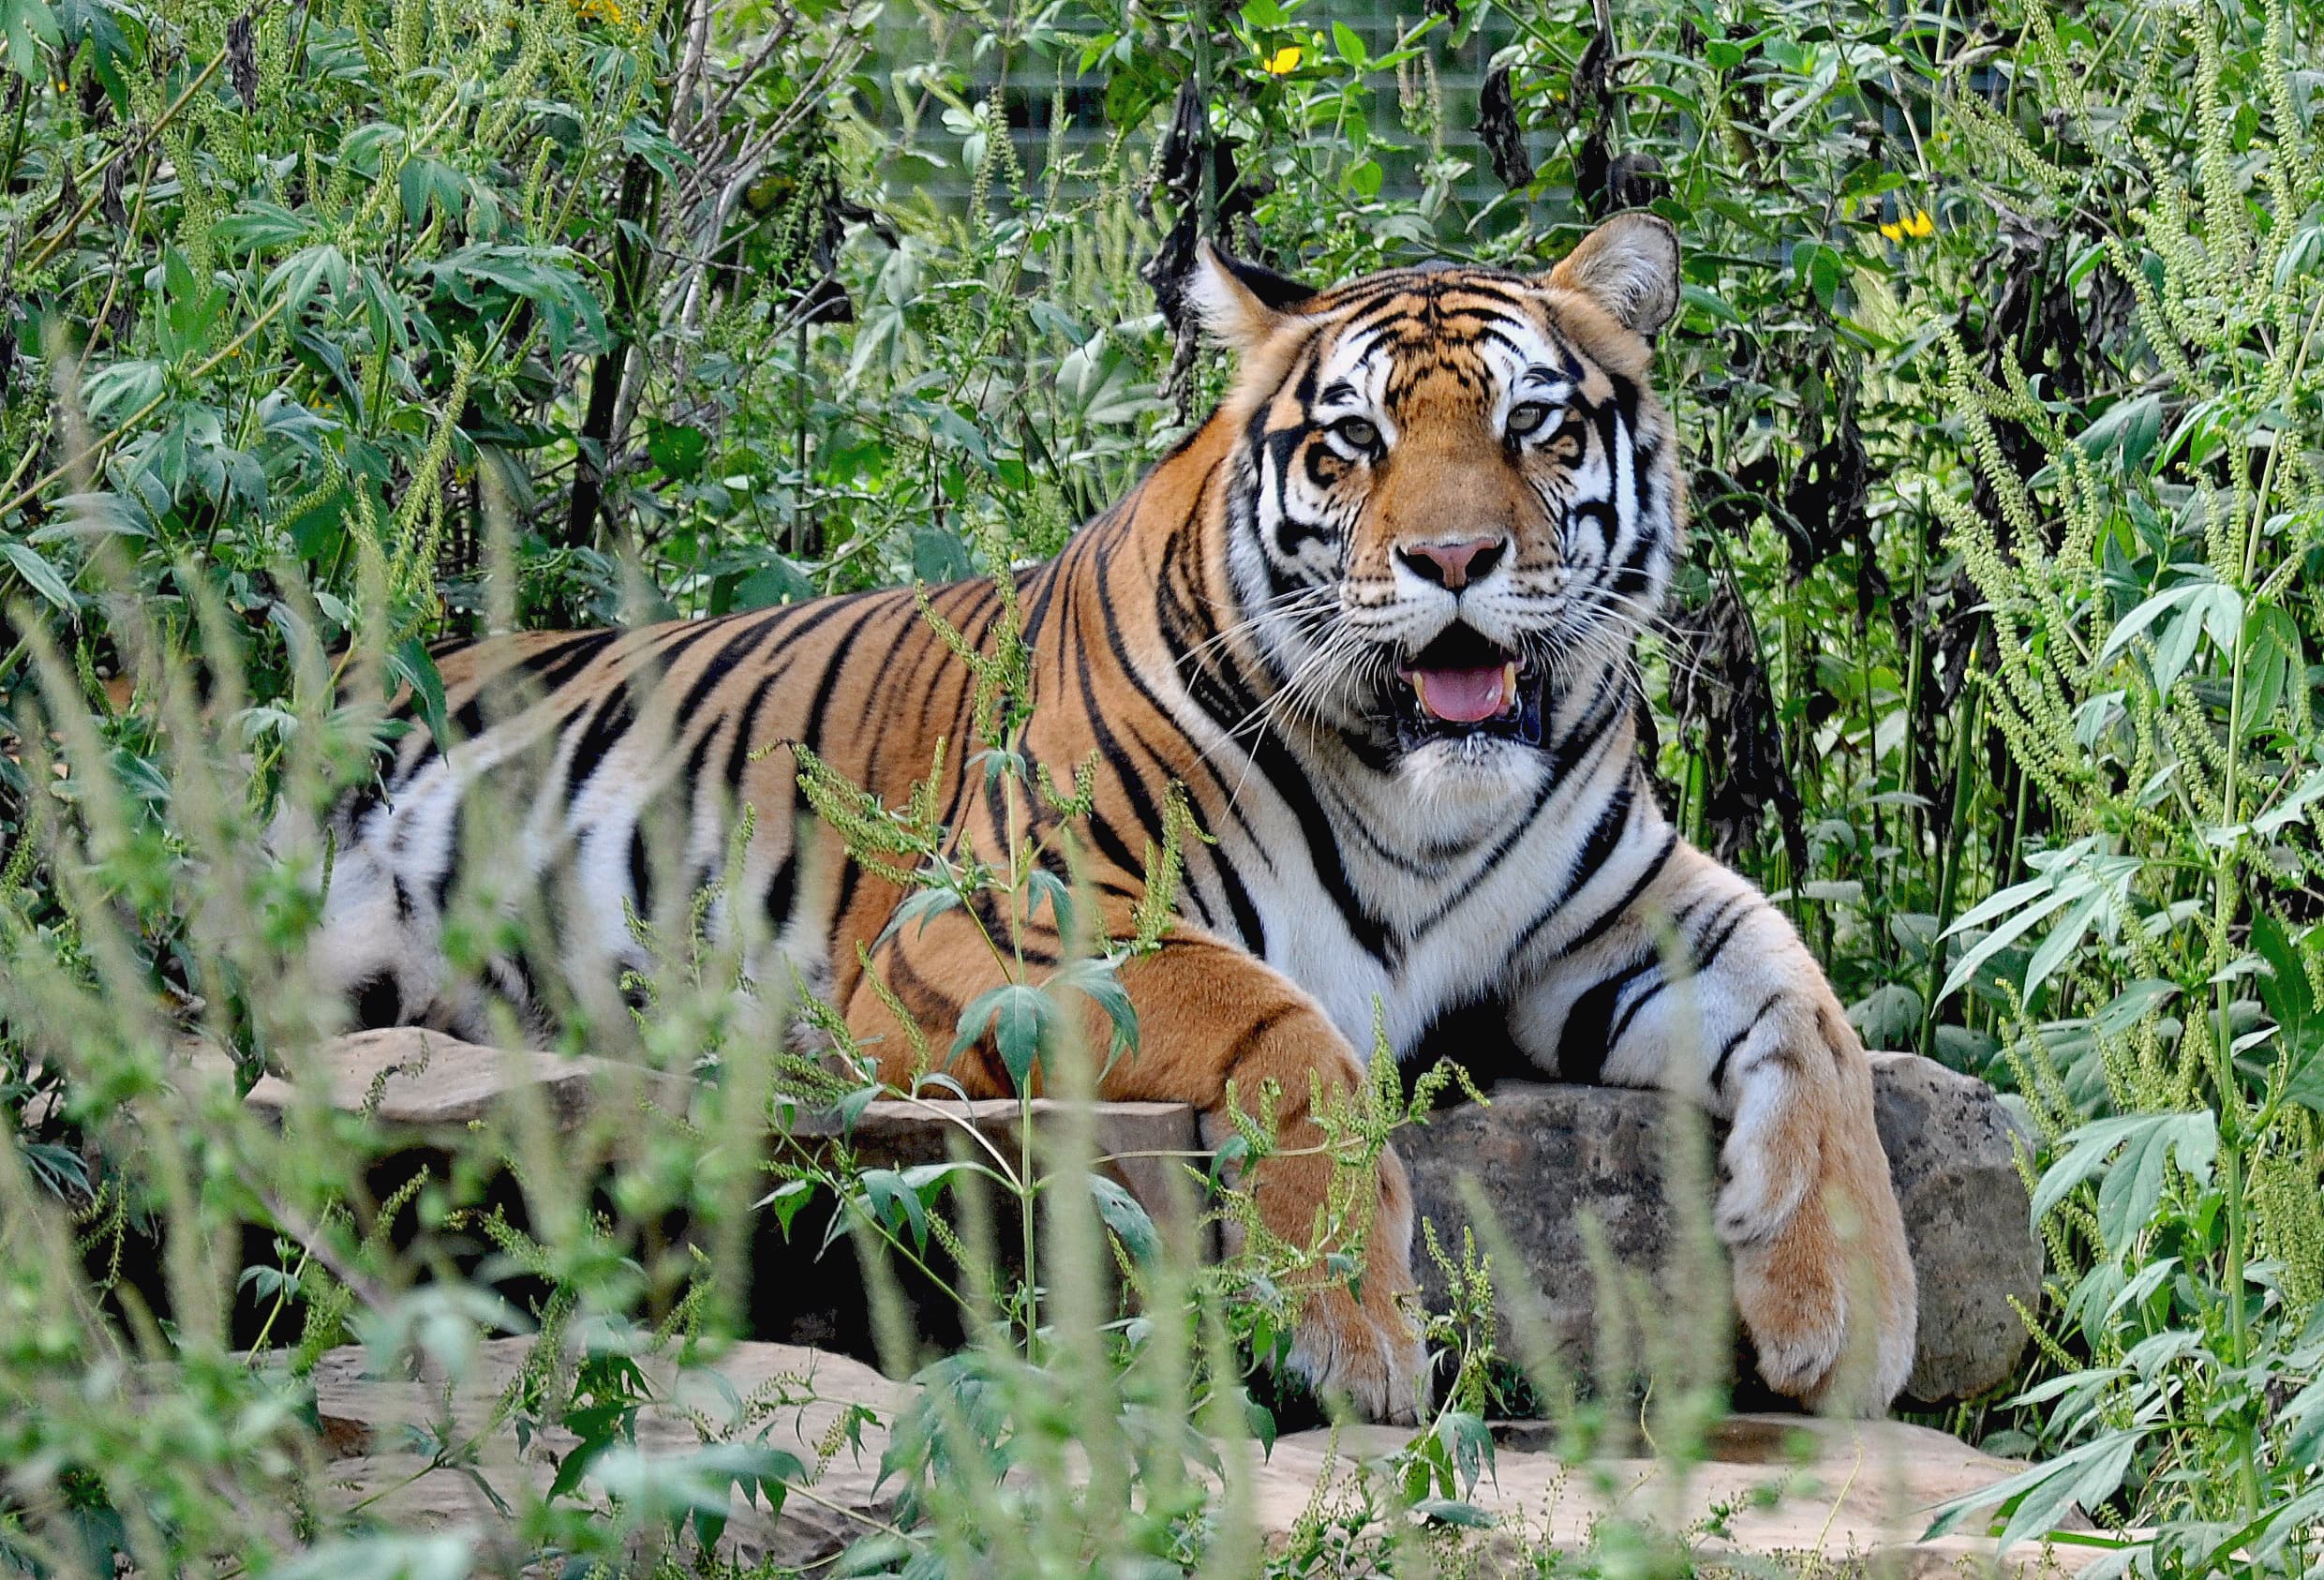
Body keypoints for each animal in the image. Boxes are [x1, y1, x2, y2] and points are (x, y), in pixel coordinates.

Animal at [306, 214, 1917, 1423]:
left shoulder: (1610, 919)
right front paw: (1356, 1333)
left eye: (1533, 425)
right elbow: (1290, 1028)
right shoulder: (988, 931)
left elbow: (1814, 1014)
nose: (1455, 558)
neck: (1422, 801)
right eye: (1352, 440)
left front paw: (1851, 1314)